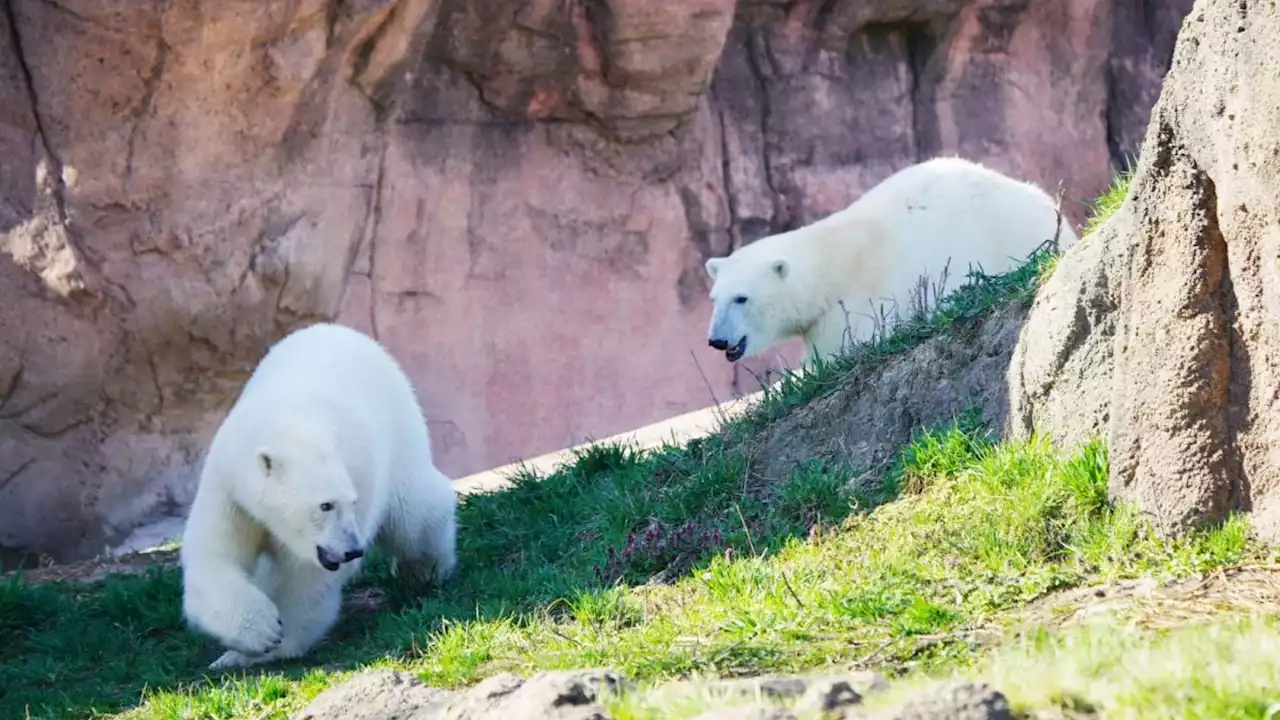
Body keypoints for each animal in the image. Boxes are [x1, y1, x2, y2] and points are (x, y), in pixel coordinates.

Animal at [177, 319, 460, 666]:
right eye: (326, 505)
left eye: (351, 502)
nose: (353, 550)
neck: (288, 425)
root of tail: (343, 331)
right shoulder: (230, 487)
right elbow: (215, 554)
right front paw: (252, 639)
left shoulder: (354, 477)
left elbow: (307, 580)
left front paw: (279, 643)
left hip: (400, 433)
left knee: (415, 517)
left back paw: (424, 570)